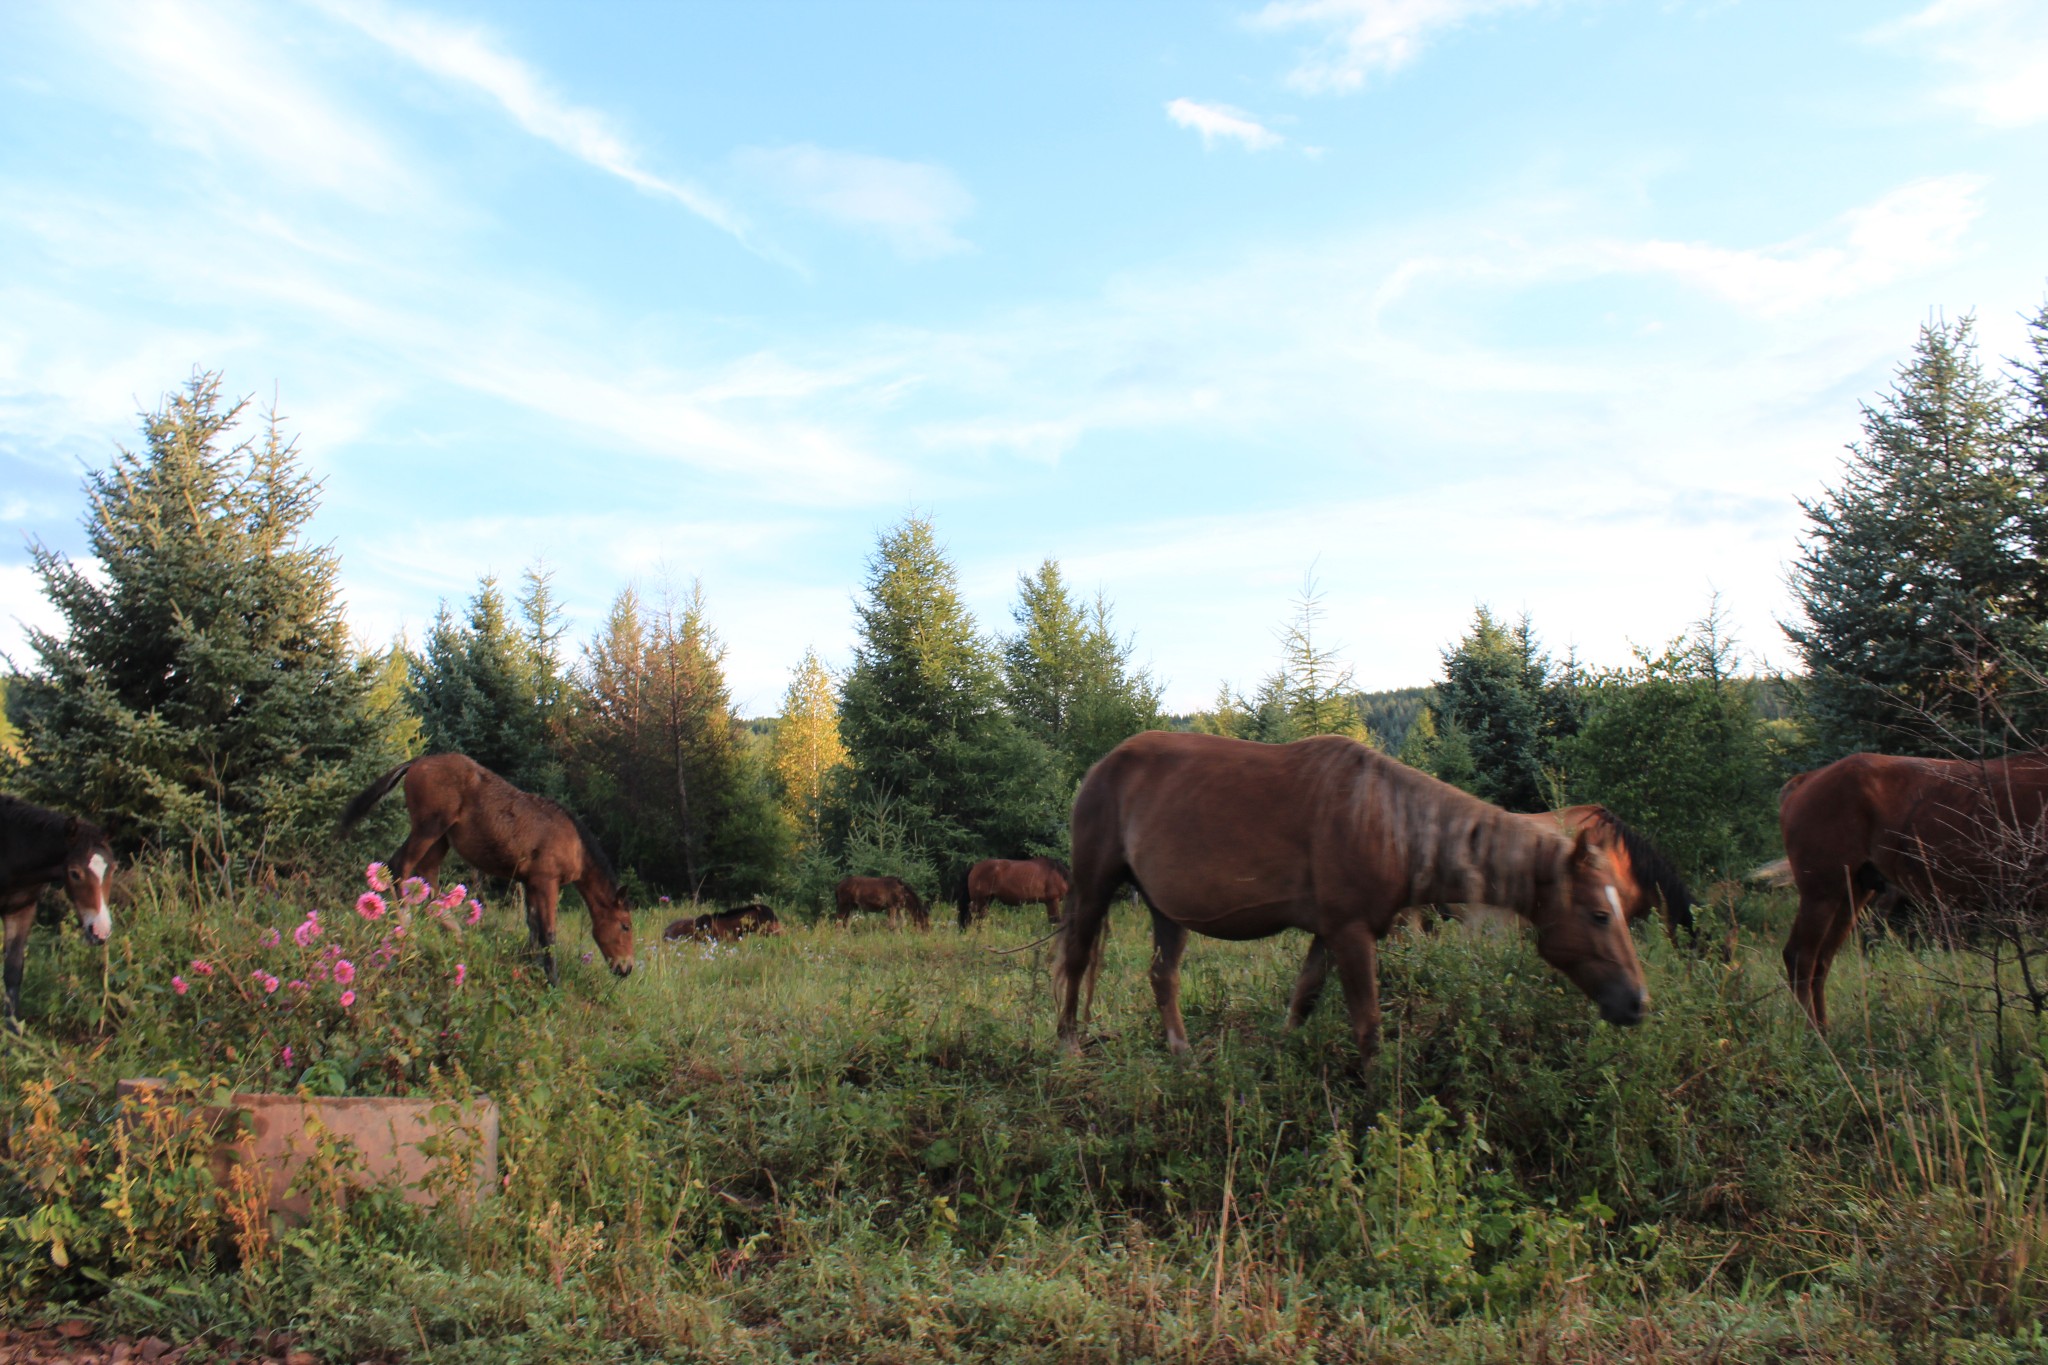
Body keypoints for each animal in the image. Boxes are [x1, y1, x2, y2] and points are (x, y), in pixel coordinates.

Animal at [1, 794, 115, 1031]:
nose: (100, 931)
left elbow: (13, 971)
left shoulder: (21, 910)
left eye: (113, 868)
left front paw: (13, 1033)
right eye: (74, 873)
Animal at [335, 753, 630, 986]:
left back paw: (455, 933)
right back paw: (406, 929)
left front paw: (531, 966)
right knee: (400, 867)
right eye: (625, 926)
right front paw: (552, 981)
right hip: (429, 828)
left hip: (440, 839)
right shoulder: (547, 882)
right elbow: (548, 932)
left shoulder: (530, 882)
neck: (575, 844)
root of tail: (418, 761)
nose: (626, 968)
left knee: (429, 879)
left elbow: (533, 928)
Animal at [1056, 732, 1646, 1064]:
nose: (1637, 1002)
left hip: (1166, 908)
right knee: (1077, 959)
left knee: (1164, 976)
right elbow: (1368, 1030)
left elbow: (1303, 1000)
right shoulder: (1351, 933)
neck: (1390, 823)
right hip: (1094, 884)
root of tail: (1102, 765)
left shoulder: (1329, 932)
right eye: (1599, 915)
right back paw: (1068, 1046)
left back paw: (1181, 1054)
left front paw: (1282, 1059)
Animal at [1777, 753, 2048, 1031]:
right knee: (1801, 957)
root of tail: (1804, 780)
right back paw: (1813, 1034)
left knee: (1822, 961)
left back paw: (1824, 1029)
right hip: (1822, 893)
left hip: (1852, 892)